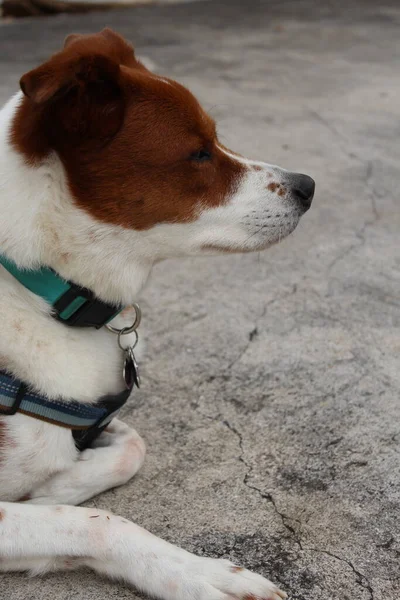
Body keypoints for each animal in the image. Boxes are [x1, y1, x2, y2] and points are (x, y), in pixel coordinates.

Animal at [0, 29, 314, 600]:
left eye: (215, 139)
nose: (308, 186)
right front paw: (199, 575)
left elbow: (133, 445)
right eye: (198, 152)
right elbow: (96, 523)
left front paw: (59, 482)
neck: (41, 288)